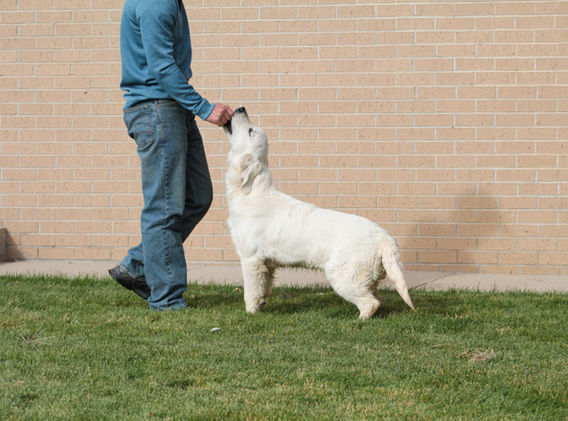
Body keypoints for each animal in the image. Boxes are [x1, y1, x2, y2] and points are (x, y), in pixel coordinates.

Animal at [223, 107, 415, 319]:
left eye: (250, 130)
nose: (241, 108)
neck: (252, 192)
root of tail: (385, 240)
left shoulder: (251, 259)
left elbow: (251, 291)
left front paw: (251, 313)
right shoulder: (267, 265)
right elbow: (263, 289)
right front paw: (261, 306)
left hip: (342, 275)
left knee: (371, 303)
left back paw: (359, 320)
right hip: (365, 277)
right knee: (377, 298)